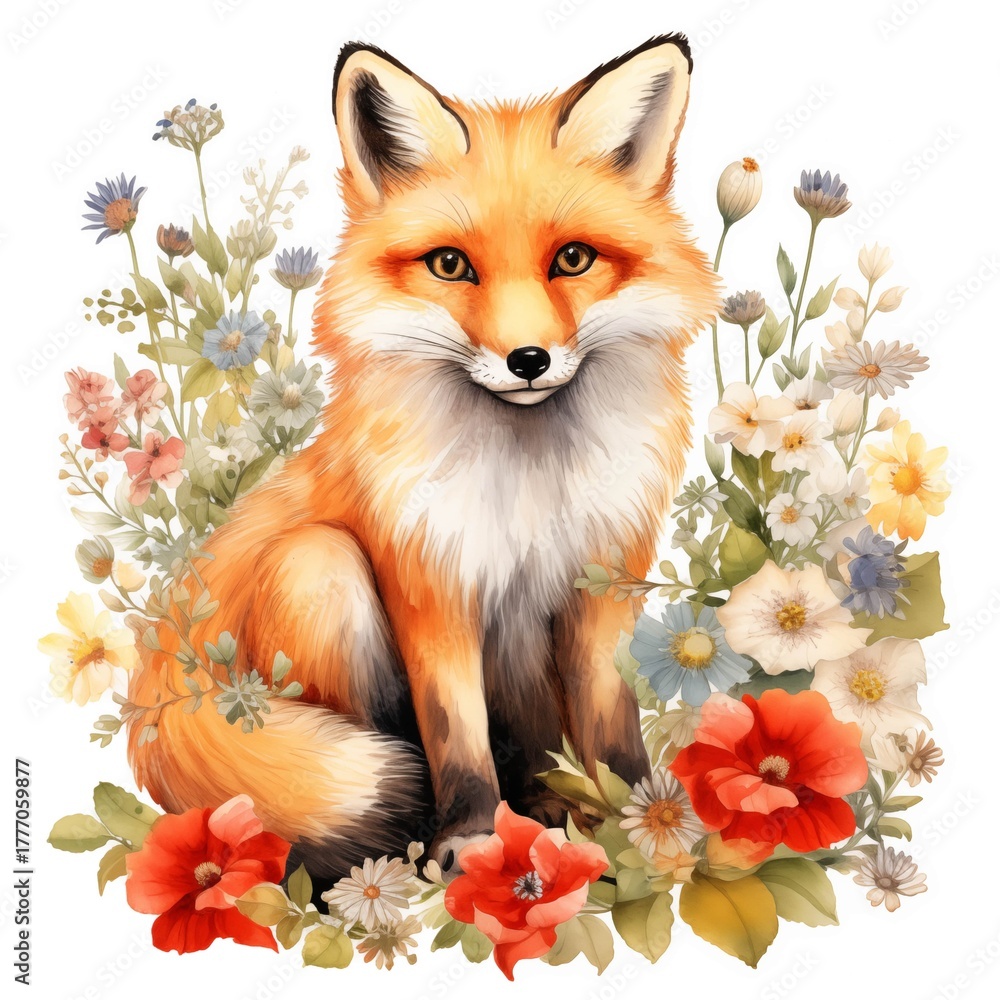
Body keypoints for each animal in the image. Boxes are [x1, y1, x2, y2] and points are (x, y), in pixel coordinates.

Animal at [127, 34, 719, 882]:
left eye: (573, 259)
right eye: (449, 266)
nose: (529, 360)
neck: (528, 485)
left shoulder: (605, 576)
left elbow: (611, 722)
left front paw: (638, 820)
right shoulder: (429, 580)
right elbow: (454, 733)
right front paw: (472, 833)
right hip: (320, 569)